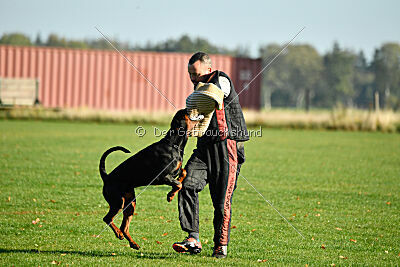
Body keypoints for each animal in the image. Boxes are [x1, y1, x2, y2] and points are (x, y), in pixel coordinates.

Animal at [98, 108, 195, 249]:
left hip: (130, 203)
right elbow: (178, 184)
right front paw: (170, 196)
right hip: (118, 202)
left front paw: (171, 194)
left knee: (124, 227)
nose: (190, 108)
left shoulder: (175, 172)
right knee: (107, 218)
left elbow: (183, 173)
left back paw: (133, 243)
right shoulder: (162, 177)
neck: (174, 144)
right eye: (185, 113)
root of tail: (106, 177)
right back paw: (118, 234)